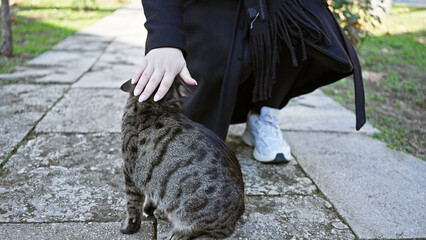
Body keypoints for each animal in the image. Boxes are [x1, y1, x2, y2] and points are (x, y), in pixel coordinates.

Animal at [120, 79, 246, 240]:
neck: (156, 107)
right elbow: (151, 192)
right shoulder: (147, 176)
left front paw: (130, 227)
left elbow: (132, 205)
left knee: (214, 229)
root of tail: (239, 211)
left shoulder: (130, 171)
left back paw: (179, 232)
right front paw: (151, 207)